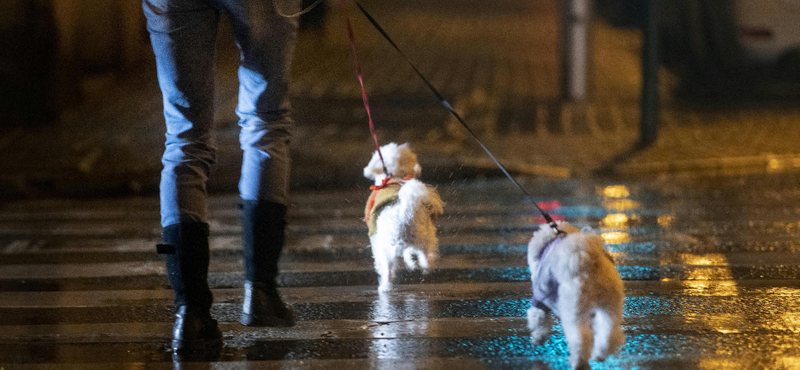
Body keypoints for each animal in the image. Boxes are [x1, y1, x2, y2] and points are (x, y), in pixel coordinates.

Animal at [362, 143, 444, 294]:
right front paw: (411, 263)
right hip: (423, 236)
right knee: (426, 256)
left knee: (389, 269)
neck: (391, 176)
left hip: (388, 247)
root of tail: (403, 212)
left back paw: (385, 287)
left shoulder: (375, 237)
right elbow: (409, 253)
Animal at [528, 221, 628, 368]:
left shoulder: (540, 296)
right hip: (610, 304)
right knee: (610, 332)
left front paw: (538, 337)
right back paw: (599, 355)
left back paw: (578, 362)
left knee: (579, 338)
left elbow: (538, 318)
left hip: (574, 307)